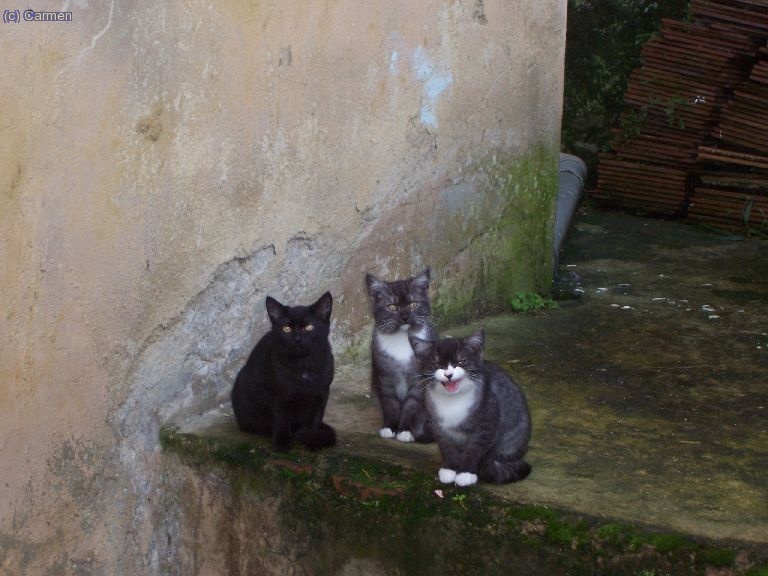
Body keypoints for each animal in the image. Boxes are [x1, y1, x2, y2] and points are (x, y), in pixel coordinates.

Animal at [230, 292, 334, 450]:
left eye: (309, 327)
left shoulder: (321, 394)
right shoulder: (278, 395)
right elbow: (281, 418)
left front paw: (311, 439)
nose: (297, 338)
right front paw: (282, 443)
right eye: (286, 328)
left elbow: (314, 420)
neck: (303, 365)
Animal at [364, 268, 436, 444]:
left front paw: (404, 431)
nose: (404, 317)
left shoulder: (418, 381)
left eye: (413, 304)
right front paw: (390, 427)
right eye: (392, 307)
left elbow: (411, 406)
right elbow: (390, 404)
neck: (403, 339)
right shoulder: (385, 378)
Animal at [412, 328, 532, 486]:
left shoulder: (487, 422)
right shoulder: (439, 426)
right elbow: (447, 447)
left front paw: (465, 473)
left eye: (461, 361)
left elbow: (475, 449)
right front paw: (450, 469)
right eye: (436, 364)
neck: (453, 400)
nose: (448, 374)